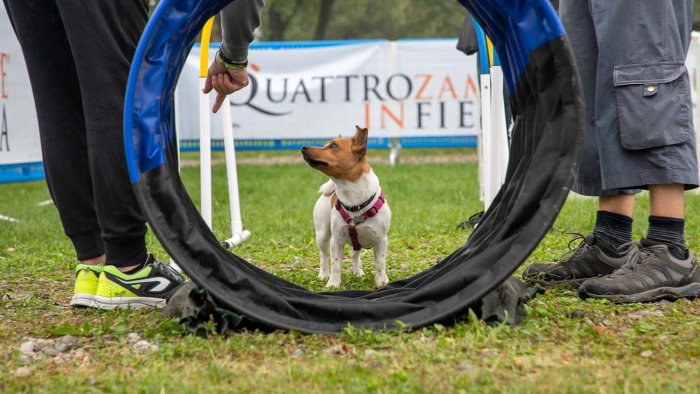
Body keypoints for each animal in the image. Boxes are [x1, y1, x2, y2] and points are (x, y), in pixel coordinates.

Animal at [300, 127, 392, 290]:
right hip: (322, 235)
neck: (354, 200)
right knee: (323, 256)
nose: (303, 147)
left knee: (356, 255)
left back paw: (358, 272)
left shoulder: (381, 240)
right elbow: (336, 264)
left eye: (333, 146)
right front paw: (333, 283)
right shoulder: (336, 241)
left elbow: (380, 264)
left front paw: (381, 281)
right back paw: (323, 274)